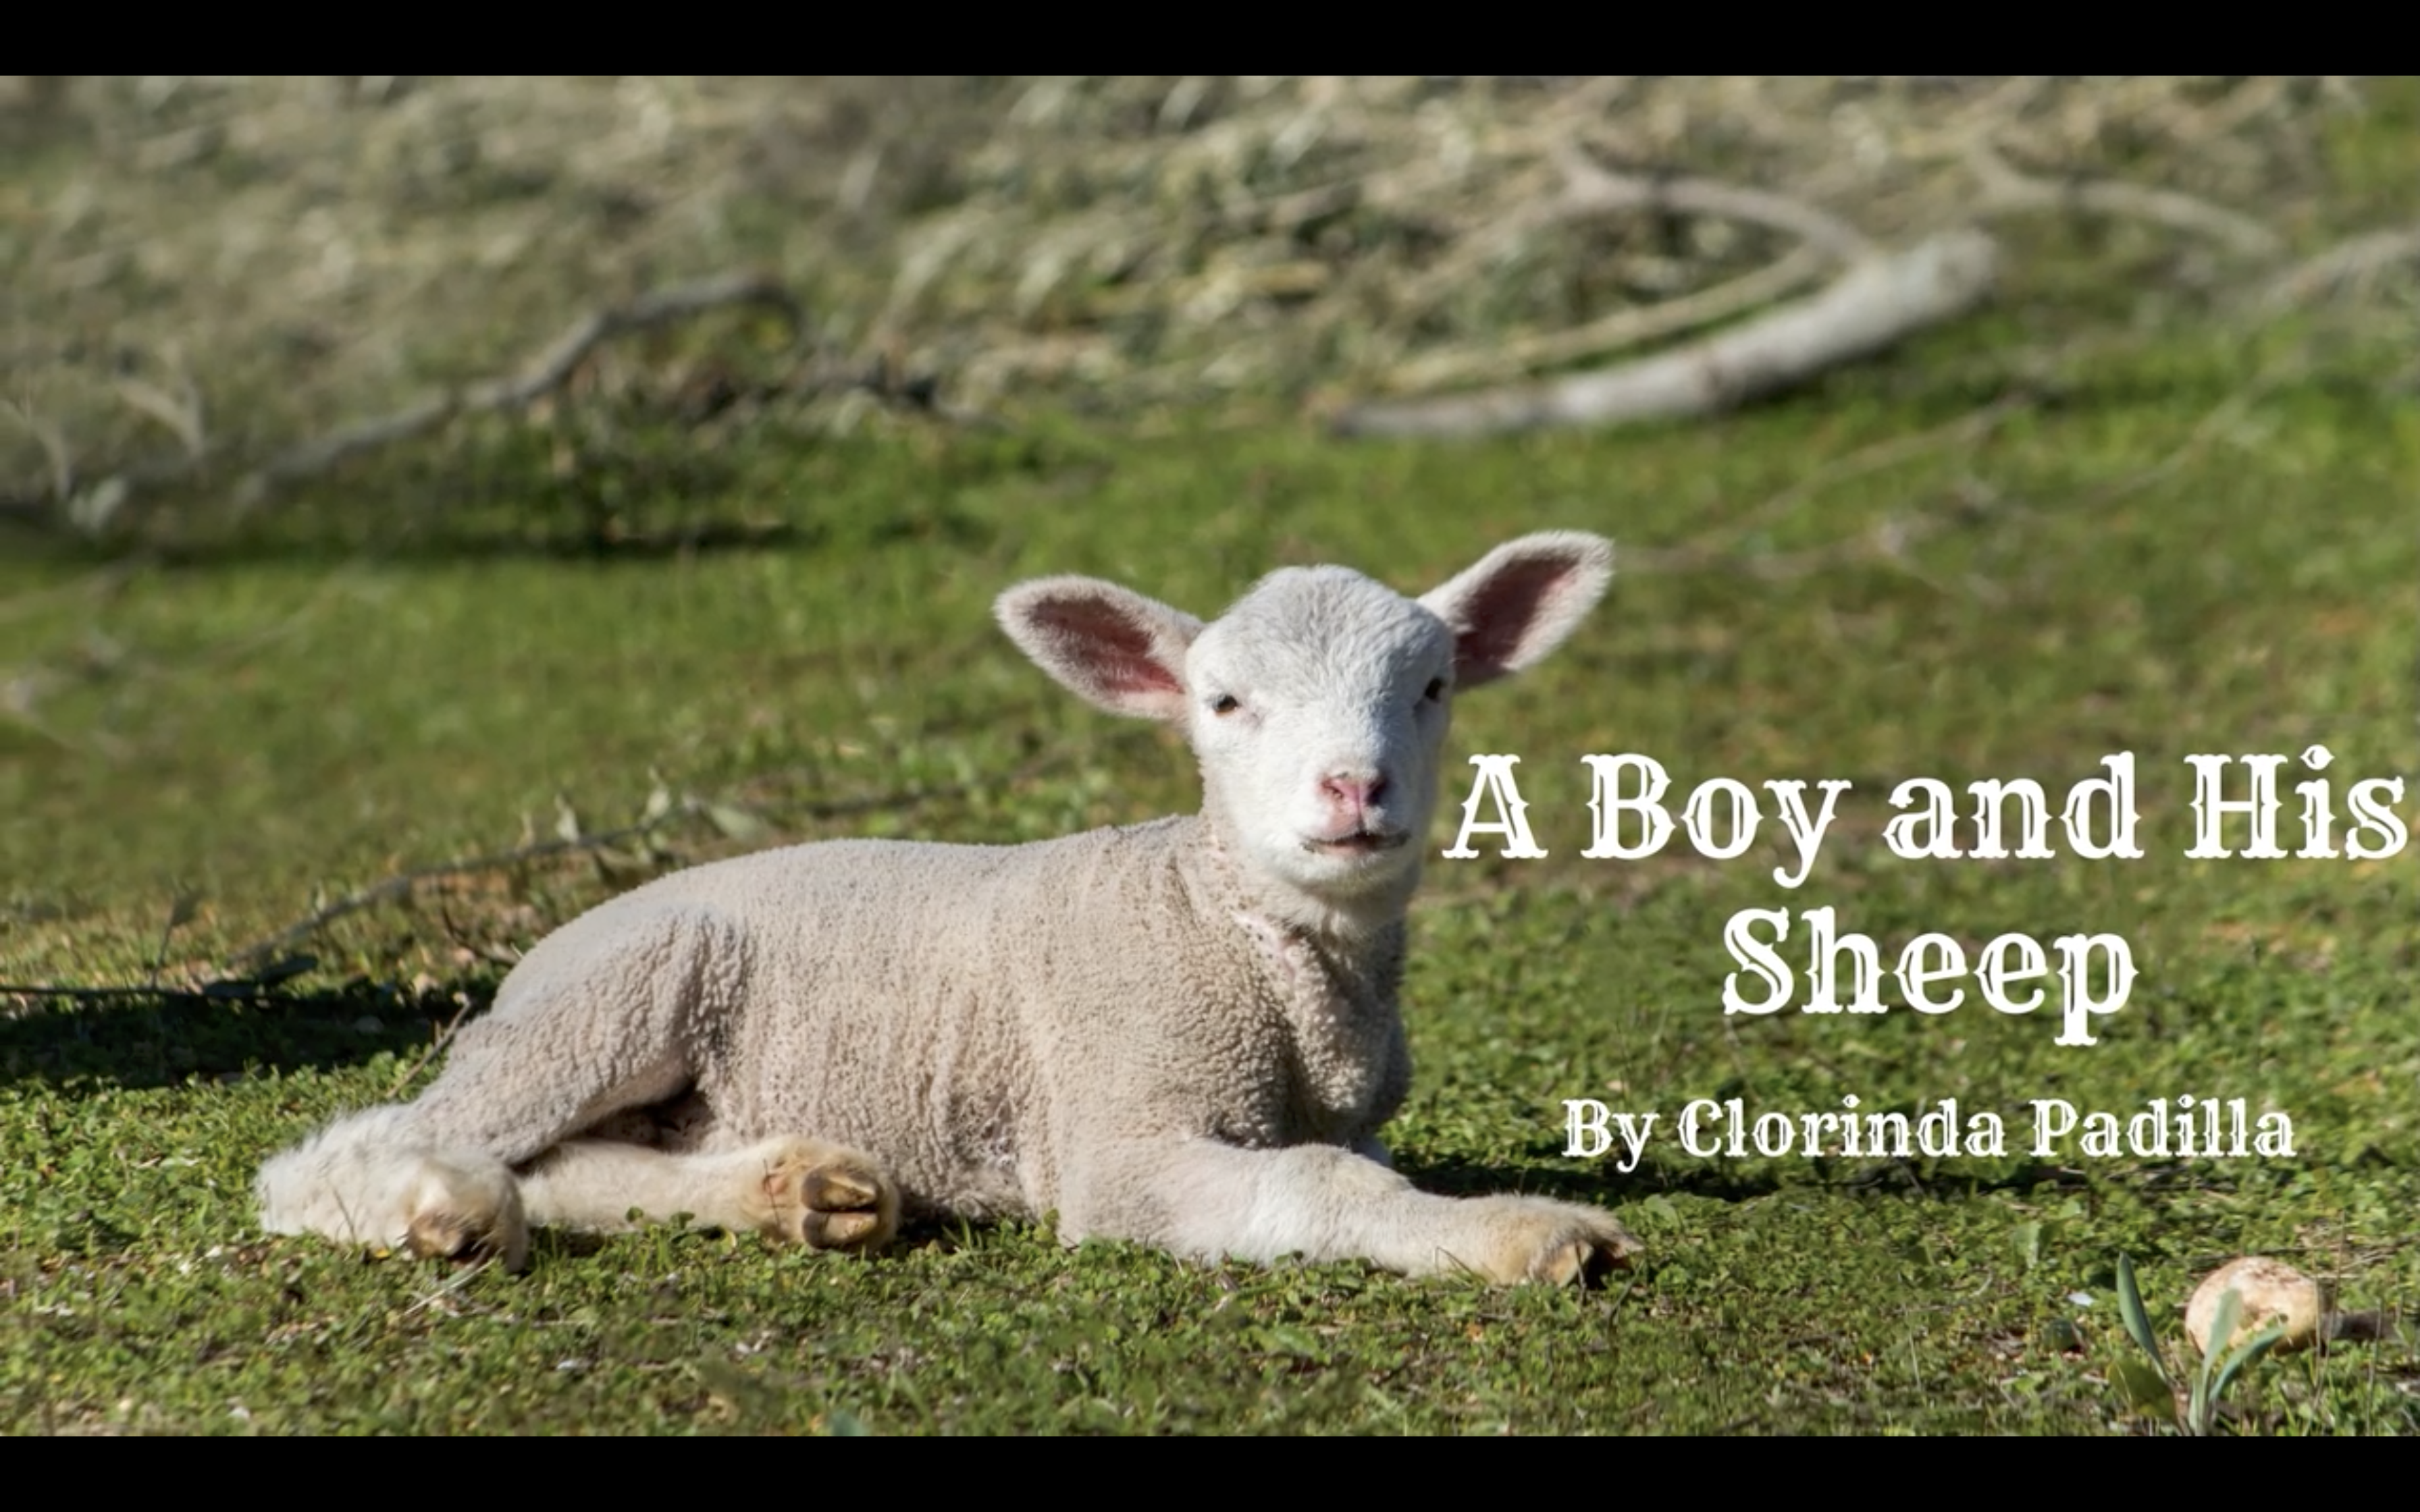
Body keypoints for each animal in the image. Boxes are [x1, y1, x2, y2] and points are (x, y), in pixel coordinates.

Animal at [257, 531, 1640, 1284]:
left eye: (1433, 686)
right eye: (1223, 703)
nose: (1354, 787)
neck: (1220, 921)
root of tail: (538, 954)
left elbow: (1359, 1170)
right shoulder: (1114, 1132)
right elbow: (1320, 1185)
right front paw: (1530, 1236)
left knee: (566, 1167)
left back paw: (800, 1193)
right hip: (620, 995)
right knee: (358, 1153)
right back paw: (437, 1211)